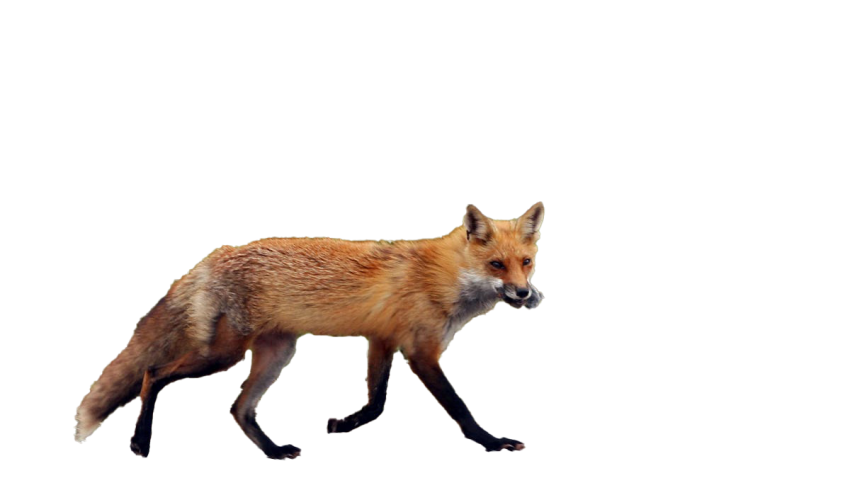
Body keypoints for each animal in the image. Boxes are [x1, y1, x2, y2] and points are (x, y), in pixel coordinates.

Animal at [73, 202, 546, 460]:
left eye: (526, 262)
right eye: (496, 265)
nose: (526, 294)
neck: (445, 276)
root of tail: (213, 255)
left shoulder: (381, 340)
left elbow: (376, 404)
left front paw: (344, 425)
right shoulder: (419, 351)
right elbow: (459, 407)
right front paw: (492, 442)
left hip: (277, 353)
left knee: (239, 409)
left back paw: (273, 452)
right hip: (222, 354)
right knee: (152, 374)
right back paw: (140, 441)